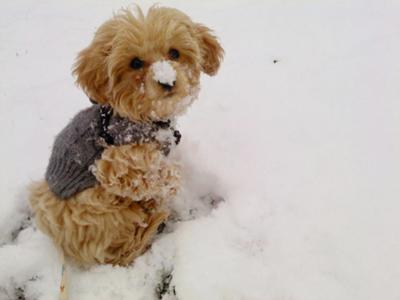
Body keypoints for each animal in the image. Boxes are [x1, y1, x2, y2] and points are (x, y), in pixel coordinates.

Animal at [28, 5, 222, 266]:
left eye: (174, 53)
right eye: (135, 63)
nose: (167, 81)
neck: (145, 117)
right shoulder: (113, 162)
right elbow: (150, 172)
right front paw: (170, 182)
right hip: (94, 204)